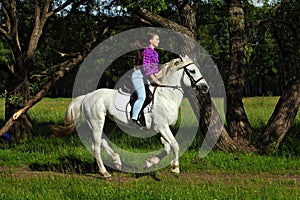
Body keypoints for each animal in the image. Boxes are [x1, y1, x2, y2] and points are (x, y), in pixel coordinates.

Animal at [52, 55, 209, 177]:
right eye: (192, 71)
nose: (205, 87)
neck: (166, 96)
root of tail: (87, 97)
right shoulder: (162, 127)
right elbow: (175, 145)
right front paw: (175, 168)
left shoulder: (160, 129)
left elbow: (167, 148)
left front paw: (149, 163)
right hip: (97, 123)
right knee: (95, 146)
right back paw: (104, 172)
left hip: (109, 123)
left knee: (103, 141)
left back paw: (116, 161)